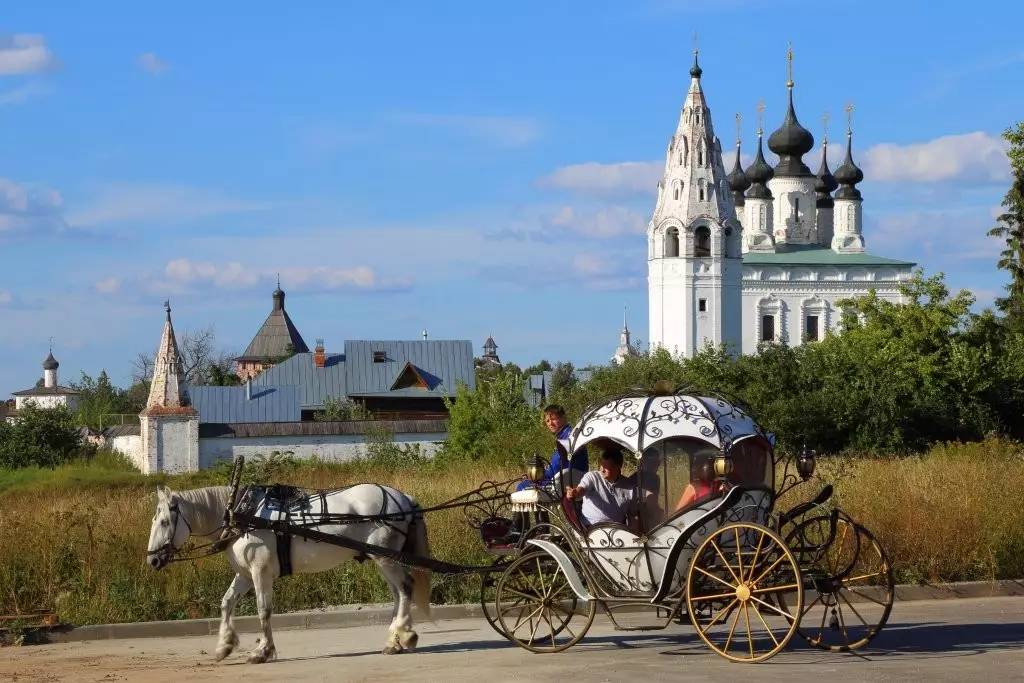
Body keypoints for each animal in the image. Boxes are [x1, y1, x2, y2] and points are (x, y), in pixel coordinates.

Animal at [146, 483, 430, 663]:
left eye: (164, 522)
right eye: (154, 520)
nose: (153, 560)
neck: (241, 516)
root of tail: (403, 497)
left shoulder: (259, 571)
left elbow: (263, 610)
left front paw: (262, 651)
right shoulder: (245, 575)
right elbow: (226, 603)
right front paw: (224, 646)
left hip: (385, 558)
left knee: (406, 587)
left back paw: (404, 635)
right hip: (383, 560)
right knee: (398, 593)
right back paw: (394, 640)